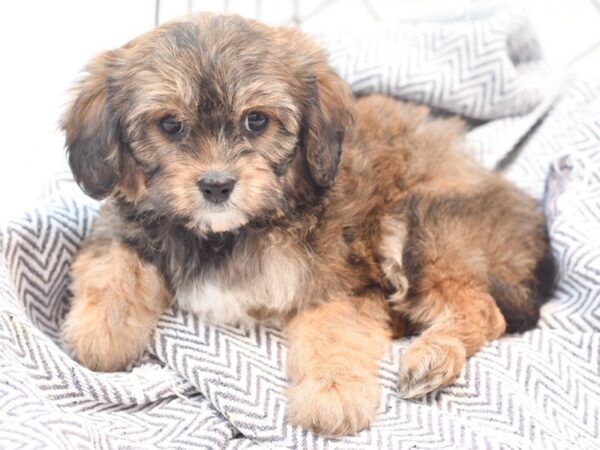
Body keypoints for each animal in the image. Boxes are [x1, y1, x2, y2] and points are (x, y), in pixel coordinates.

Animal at [59, 13, 552, 436]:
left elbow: (333, 334)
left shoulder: (339, 284)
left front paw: (332, 394)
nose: (217, 186)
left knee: (484, 311)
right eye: (170, 125)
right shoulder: (125, 223)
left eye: (256, 120)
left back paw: (432, 357)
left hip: (423, 226)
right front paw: (102, 333)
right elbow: (114, 263)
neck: (230, 232)